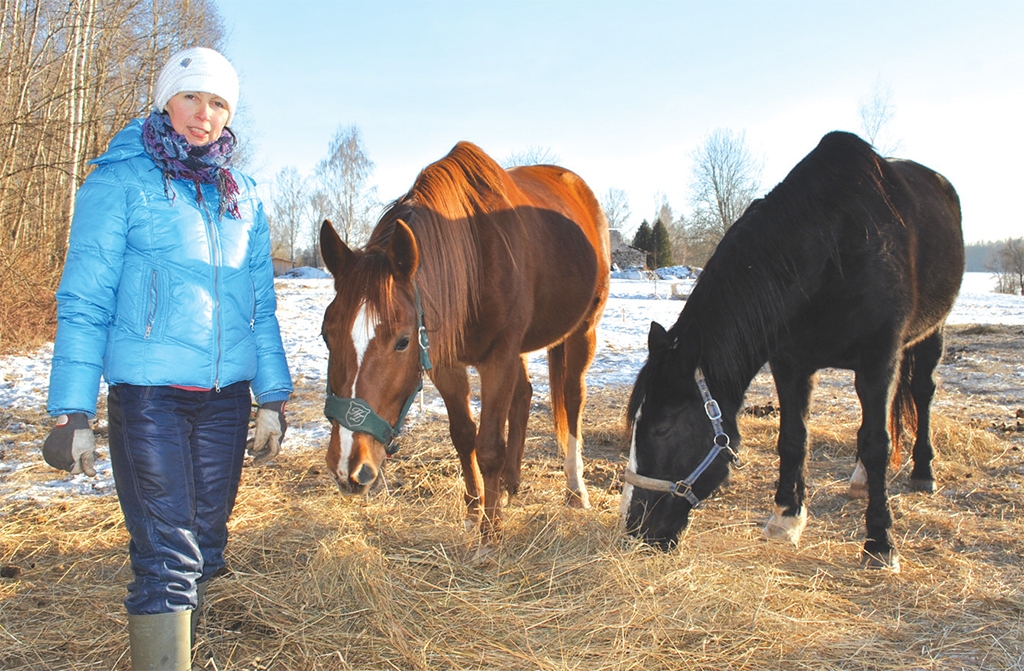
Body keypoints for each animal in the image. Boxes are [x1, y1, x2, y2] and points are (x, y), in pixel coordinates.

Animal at [319, 141, 606, 544]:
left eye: (402, 342)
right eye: (326, 333)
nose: (347, 466)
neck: (475, 262)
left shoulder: (498, 358)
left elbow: (488, 447)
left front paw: (491, 531)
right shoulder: (446, 364)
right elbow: (464, 437)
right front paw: (474, 513)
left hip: (583, 331)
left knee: (572, 400)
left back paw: (575, 489)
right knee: (523, 396)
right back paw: (511, 483)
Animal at [618, 132, 962, 573]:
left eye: (662, 428)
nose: (633, 528)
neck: (834, 244)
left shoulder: (879, 360)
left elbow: (876, 442)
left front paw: (881, 542)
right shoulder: (790, 363)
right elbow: (793, 437)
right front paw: (786, 517)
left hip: (931, 332)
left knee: (921, 392)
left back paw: (922, 471)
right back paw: (861, 480)